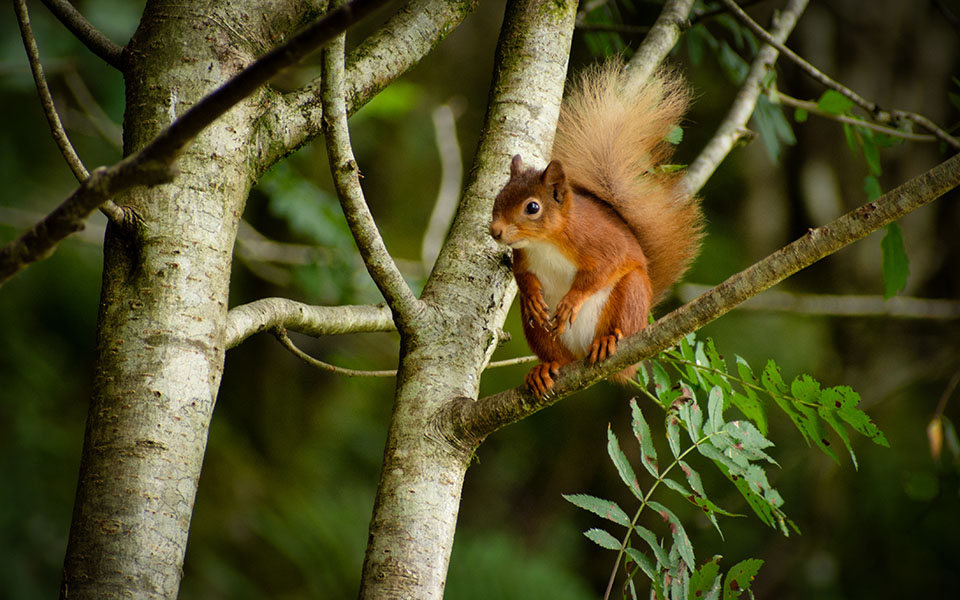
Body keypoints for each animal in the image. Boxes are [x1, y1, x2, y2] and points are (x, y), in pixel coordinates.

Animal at [489, 61, 703, 397]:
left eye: (532, 207)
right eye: (497, 198)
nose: (495, 231)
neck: (545, 242)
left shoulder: (598, 241)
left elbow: (603, 268)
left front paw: (572, 300)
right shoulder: (524, 257)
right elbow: (522, 277)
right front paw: (533, 294)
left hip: (631, 296)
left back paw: (607, 340)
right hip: (540, 332)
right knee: (555, 354)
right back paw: (546, 368)